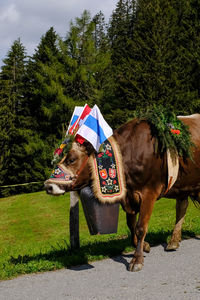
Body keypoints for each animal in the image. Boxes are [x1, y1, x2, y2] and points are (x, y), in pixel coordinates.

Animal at [45, 113, 200, 270]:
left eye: (71, 159)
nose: (48, 186)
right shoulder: (128, 197)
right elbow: (131, 225)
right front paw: (145, 246)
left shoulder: (148, 192)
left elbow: (141, 227)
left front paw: (137, 260)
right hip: (183, 185)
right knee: (182, 207)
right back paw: (173, 241)